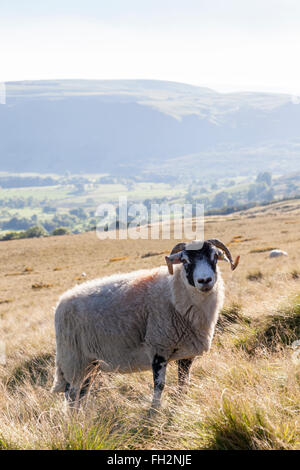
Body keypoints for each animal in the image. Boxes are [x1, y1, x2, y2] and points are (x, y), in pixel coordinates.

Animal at [51, 239, 239, 412]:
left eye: (214, 256)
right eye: (185, 260)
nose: (204, 280)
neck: (175, 293)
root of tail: (61, 302)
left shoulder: (187, 354)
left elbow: (183, 383)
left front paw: (180, 405)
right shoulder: (158, 347)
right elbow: (159, 386)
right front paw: (154, 412)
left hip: (91, 362)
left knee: (83, 392)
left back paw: (83, 416)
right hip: (74, 359)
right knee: (71, 394)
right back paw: (75, 421)